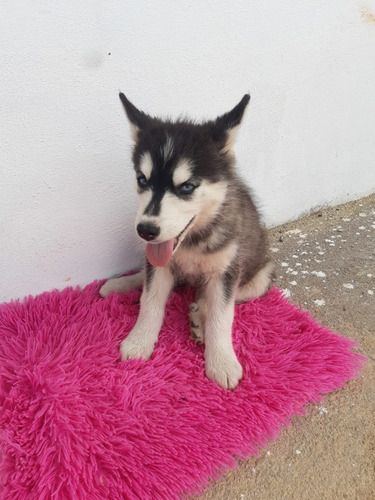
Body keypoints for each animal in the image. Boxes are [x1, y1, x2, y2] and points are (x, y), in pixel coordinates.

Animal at [101, 94, 274, 390]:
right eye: (142, 180)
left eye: (187, 187)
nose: (145, 230)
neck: (192, 241)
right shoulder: (157, 265)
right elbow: (150, 300)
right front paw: (139, 341)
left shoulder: (227, 271)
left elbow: (222, 315)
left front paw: (222, 361)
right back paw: (121, 283)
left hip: (260, 279)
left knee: (217, 298)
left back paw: (198, 315)